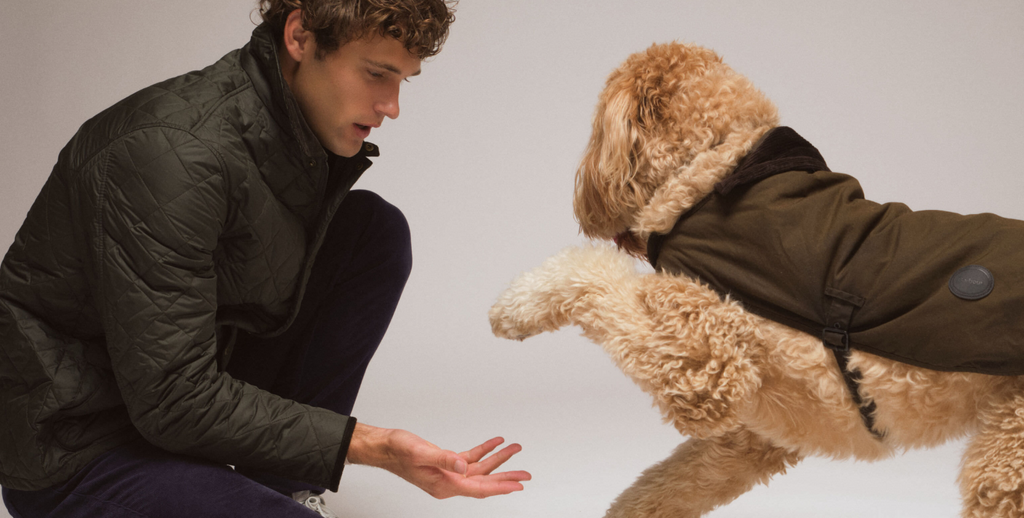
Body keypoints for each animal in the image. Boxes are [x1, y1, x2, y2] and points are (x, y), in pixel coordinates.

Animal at [489, 42, 1024, 517]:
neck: (715, 170)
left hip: (1004, 466)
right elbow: (662, 489)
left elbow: (590, 277)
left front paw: (516, 307)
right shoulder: (753, 436)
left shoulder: (707, 364)